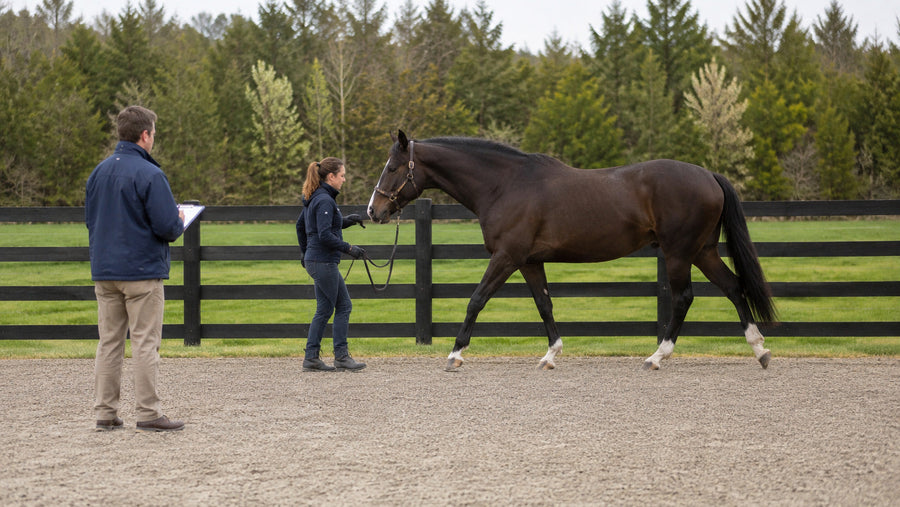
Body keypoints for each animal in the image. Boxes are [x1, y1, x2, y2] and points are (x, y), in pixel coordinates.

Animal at [367, 131, 776, 371]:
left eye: (393, 167)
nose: (374, 211)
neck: (506, 185)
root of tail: (709, 176)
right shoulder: (529, 262)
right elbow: (544, 304)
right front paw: (551, 355)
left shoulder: (506, 257)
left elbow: (476, 299)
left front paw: (455, 354)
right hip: (703, 251)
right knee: (733, 287)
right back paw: (760, 350)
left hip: (679, 253)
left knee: (684, 298)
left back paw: (657, 357)